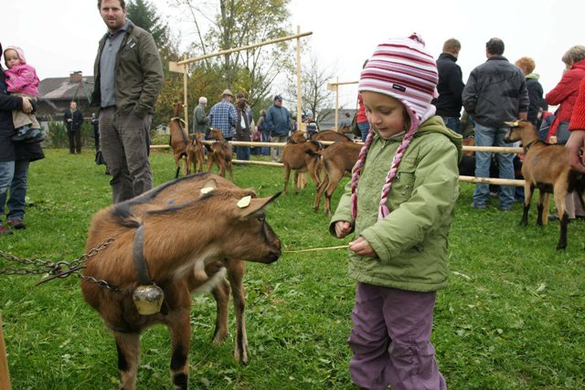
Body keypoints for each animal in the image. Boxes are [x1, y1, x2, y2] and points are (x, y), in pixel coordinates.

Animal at [81, 174, 280, 390]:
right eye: (261, 217)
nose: (278, 246)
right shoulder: (121, 327)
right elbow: (126, 374)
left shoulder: (180, 312)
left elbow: (179, 371)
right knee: (223, 290)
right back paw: (218, 338)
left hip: (234, 260)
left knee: (239, 299)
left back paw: (241, 353)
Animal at [502, 120, 584, 251]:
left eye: (511, 128)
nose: (505, 139)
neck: (532, 146)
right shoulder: (542, 186)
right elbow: (540, 206)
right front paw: (539, 224)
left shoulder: (528, 182)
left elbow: (527, 204)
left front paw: (523, 223)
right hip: (582, 189)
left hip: (559, 189)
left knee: (564, 216)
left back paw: (561, 245)